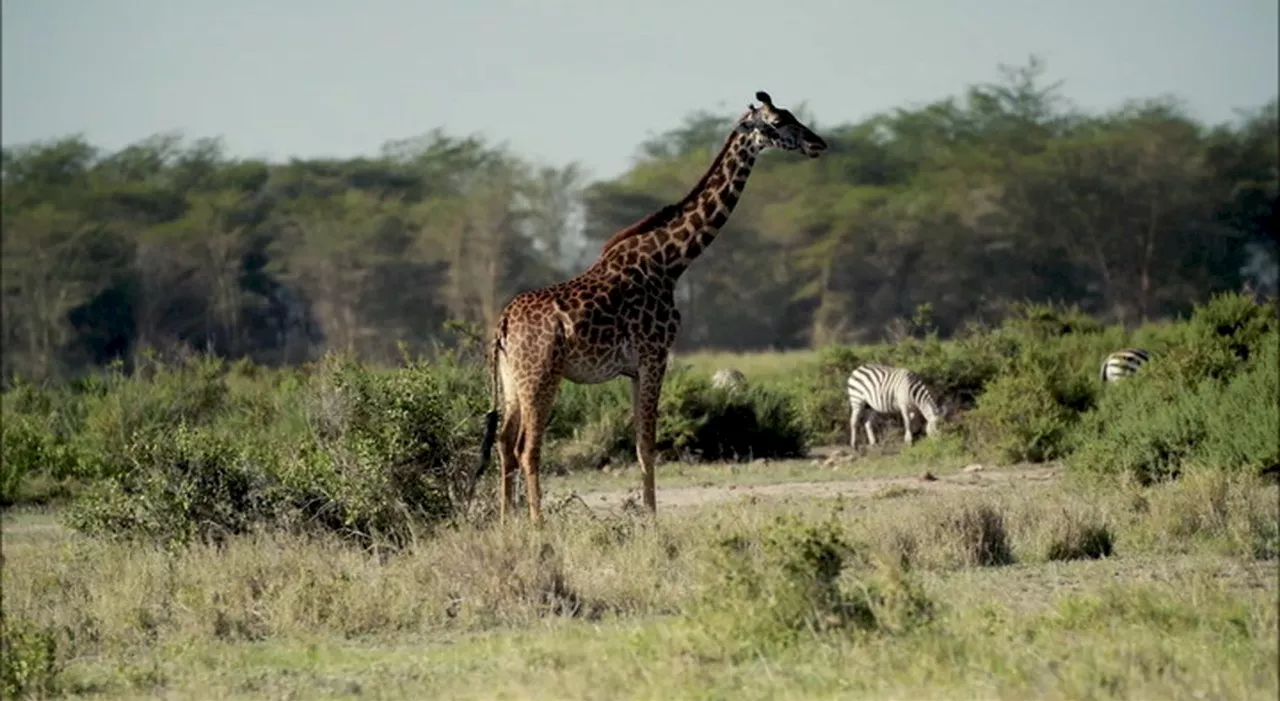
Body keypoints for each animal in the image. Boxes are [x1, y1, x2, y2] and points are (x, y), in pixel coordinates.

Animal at [476, 90, 824, 521]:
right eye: (777, 122)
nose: (818, 143)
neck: (671, 262)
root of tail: (503, 323)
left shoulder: (634, 368)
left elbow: (640, 444)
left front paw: (647, 515)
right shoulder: (655, 355)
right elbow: (648, 444)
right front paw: (653, 521)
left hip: (510, 379)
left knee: (504, 443)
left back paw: (507, 523)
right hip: (540, 375)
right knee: (527, 447)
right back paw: (538, 526)